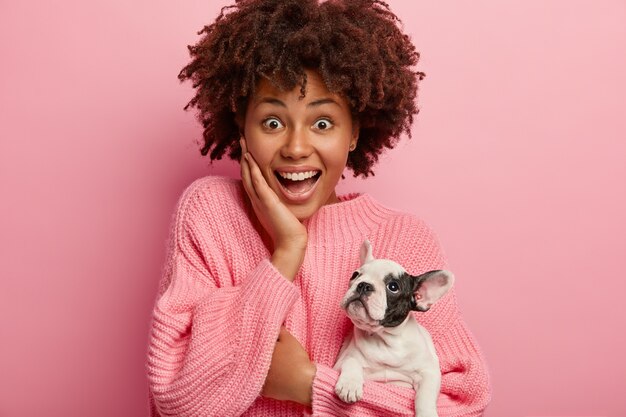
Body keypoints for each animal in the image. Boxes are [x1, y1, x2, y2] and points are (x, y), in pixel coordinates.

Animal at [332, 239, 454, 414]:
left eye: (393, 287)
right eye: (355, 275)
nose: (363, 285)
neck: (384, 339)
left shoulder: (429, 372)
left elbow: (425, 396)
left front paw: (427, 413)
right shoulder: (341, 362)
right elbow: (351, 361)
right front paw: (350, 384)